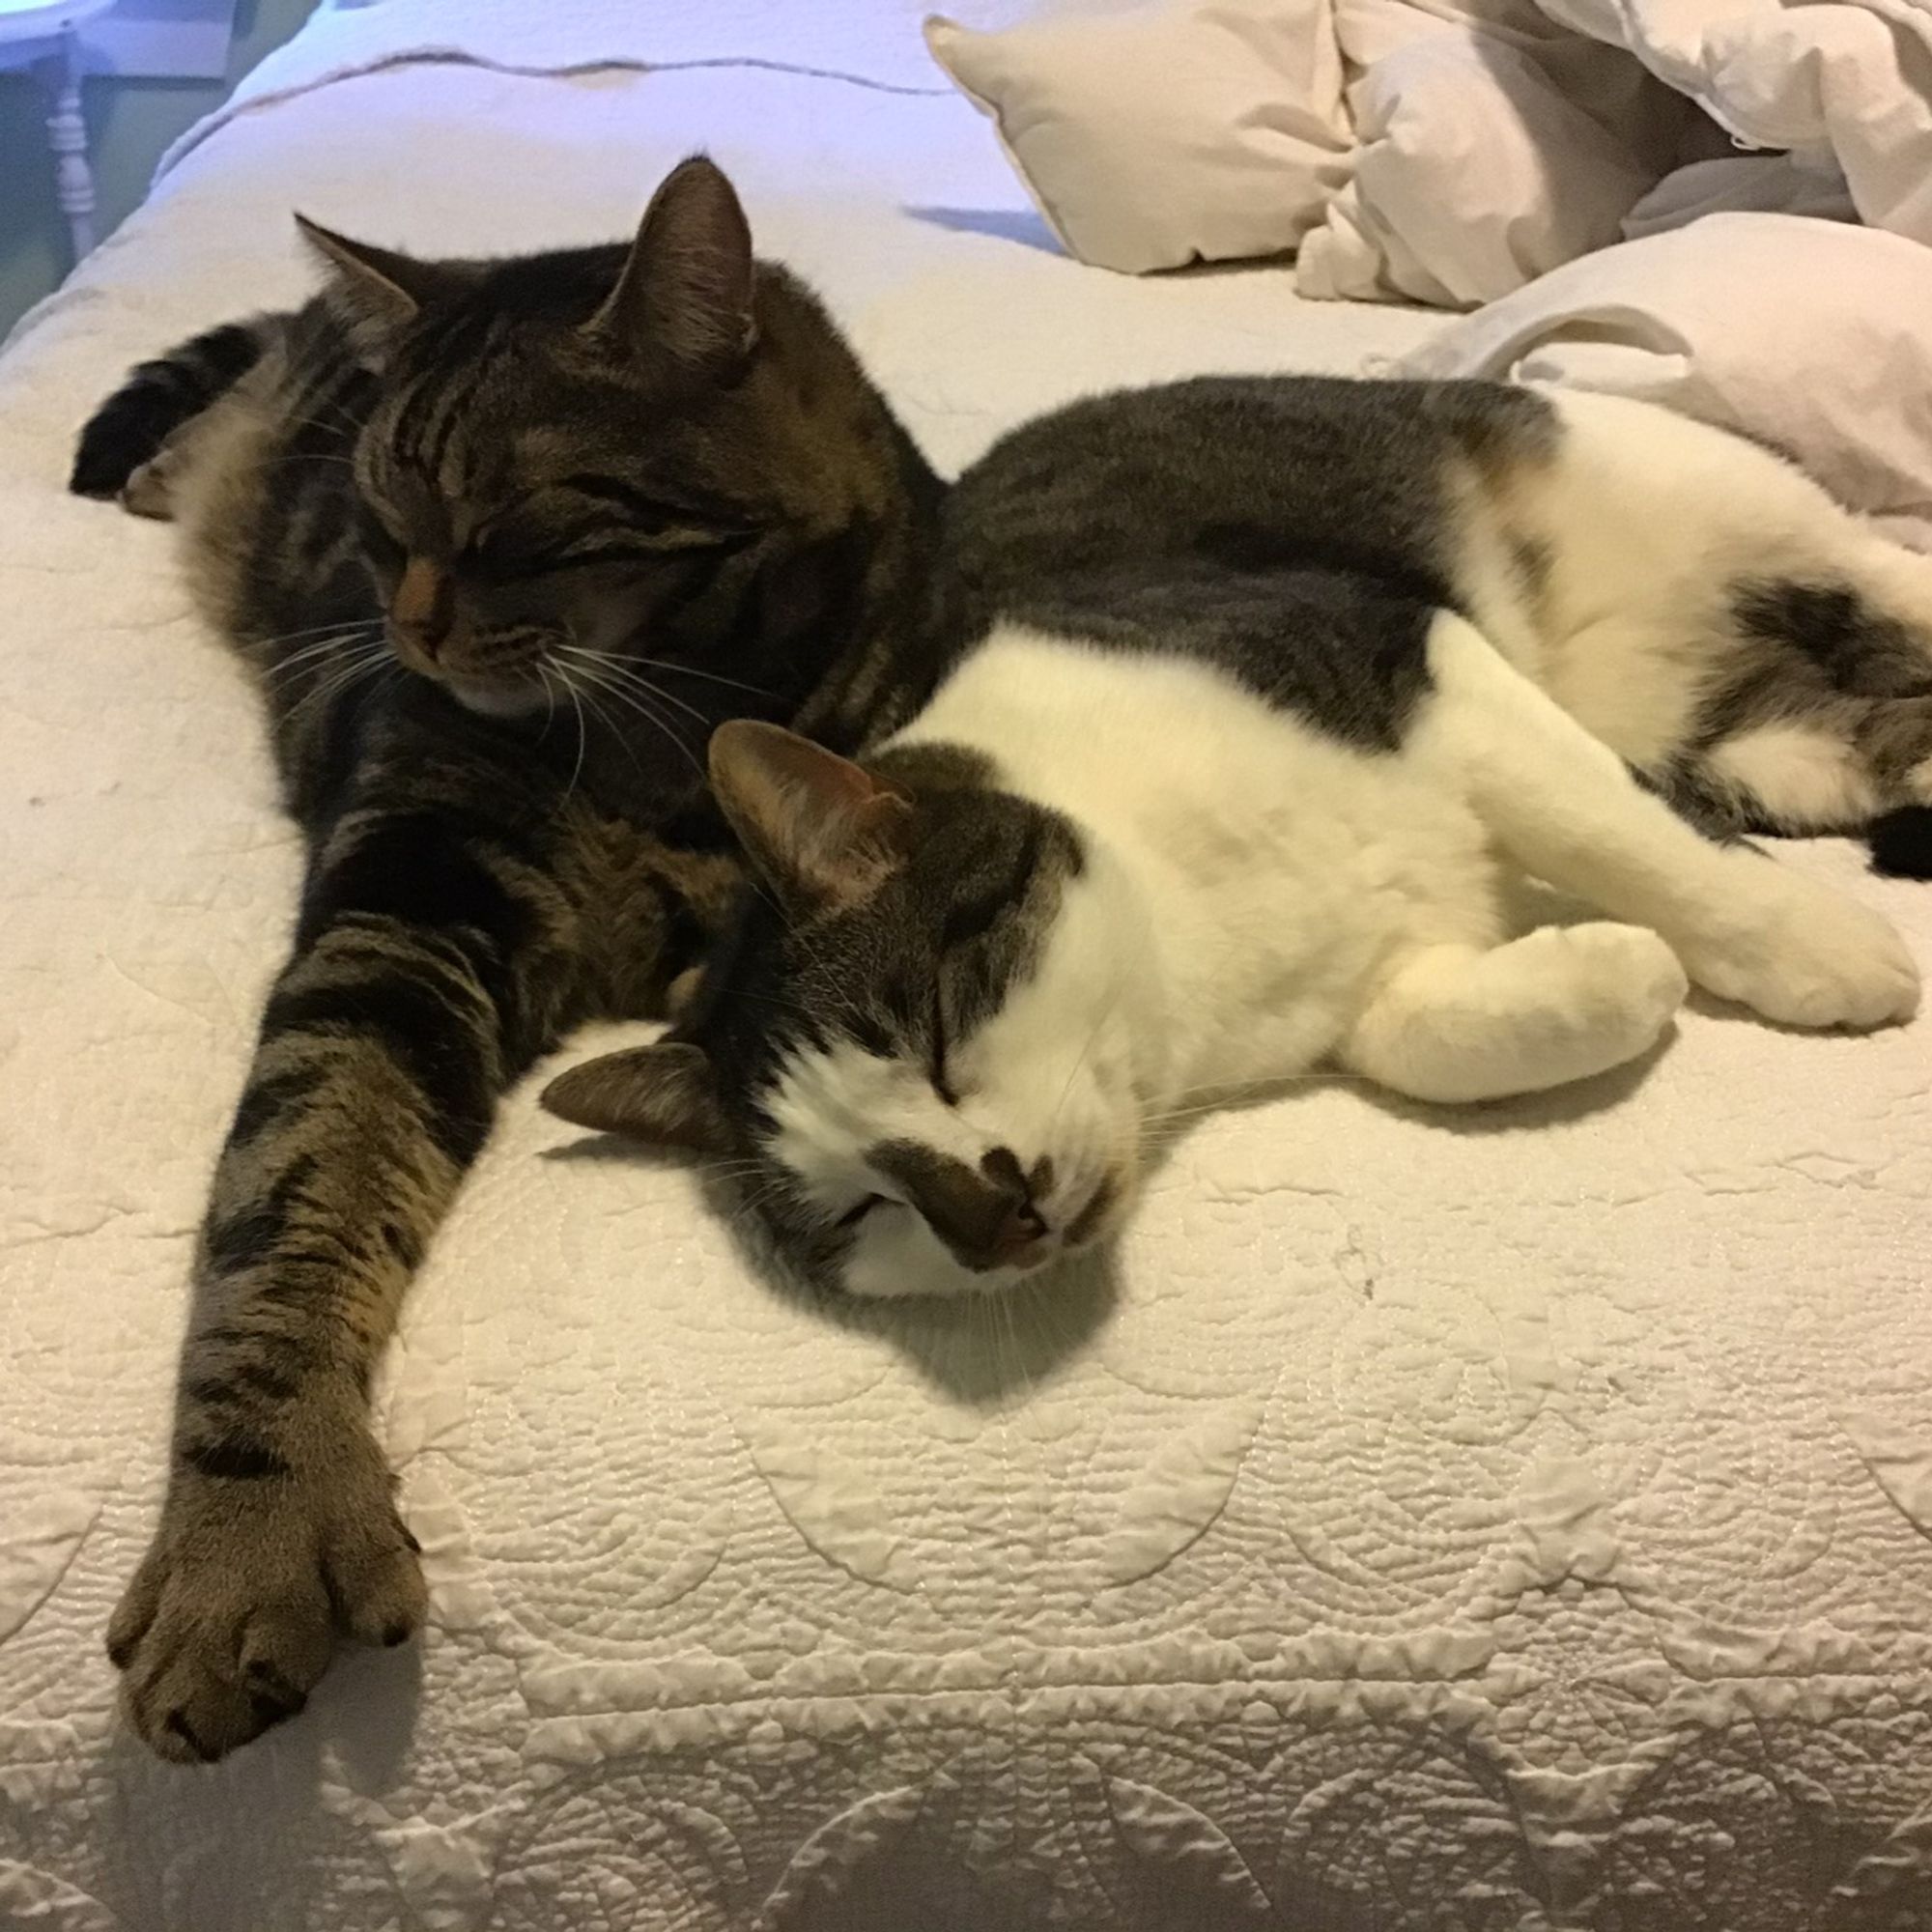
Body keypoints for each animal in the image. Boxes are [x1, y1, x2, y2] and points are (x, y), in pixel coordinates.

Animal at [553, 384, 1924, 1298]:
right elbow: (1432, 1039)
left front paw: (1817, 949)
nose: (989, 1217)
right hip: (1753, 741)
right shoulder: (1364, 989)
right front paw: (1617, 970)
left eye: (933, 1040)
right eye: (860, 1209)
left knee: (1880, 557)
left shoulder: (1407, 655)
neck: (1190, 950)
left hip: (1704, 498)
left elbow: (1620, 837)